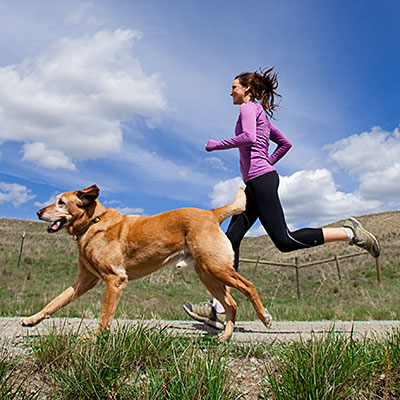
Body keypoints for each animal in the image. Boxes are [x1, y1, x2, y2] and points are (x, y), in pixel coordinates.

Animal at [21, 184, 272, 340]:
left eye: (61, 202)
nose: (37, 212)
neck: (94, 222)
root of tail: (211, 212)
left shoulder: (115, 279)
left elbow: (105, 316)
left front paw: (95, 338)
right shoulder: (84, 280)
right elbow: (55, 302)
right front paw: (32, 320)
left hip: (216, 268)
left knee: (248, 286)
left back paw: (264, 317)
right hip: (208, 275)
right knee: (231, 303)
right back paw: (226, 336)